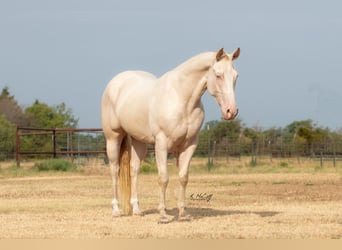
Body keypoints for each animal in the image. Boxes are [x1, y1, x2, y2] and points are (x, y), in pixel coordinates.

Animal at [101, 47, 240, 223]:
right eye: (218, 75)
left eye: (236, 76)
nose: (231, 111)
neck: (182, 98)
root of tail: (116, 82)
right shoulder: (161, 144)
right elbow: (163, 178)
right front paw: (163, 215)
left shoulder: (190, 145)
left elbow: (183, 177)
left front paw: (182, 214)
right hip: (113, 137)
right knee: (114, 170)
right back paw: (116, 210)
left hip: (139, 141)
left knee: (134, 170)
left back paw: (137, 210)